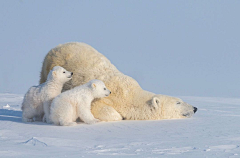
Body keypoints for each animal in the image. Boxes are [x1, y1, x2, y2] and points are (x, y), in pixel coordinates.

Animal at [39, 42, 197, 121]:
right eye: (178, 102)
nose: (195, 108)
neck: (129, 94)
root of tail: (58, 45)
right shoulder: (107, 95)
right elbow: (101, 108)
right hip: (49, 66)